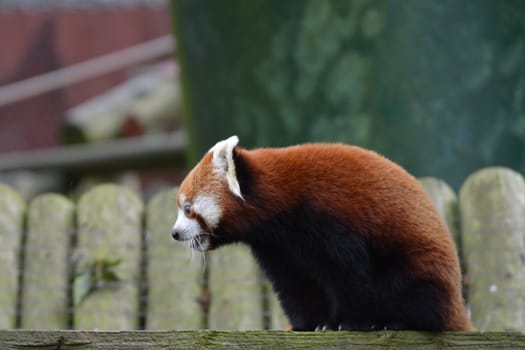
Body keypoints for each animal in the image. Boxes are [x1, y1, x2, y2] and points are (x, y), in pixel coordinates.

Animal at [171, 135, 470, 332]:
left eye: (188, 208)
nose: (174, 233)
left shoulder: (331, 220)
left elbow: (349, 277)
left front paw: (344, 322)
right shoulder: (278, 249)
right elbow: (297, 287)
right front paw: (305, 325)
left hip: (417, 266)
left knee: (411, 294)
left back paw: (394, 322)